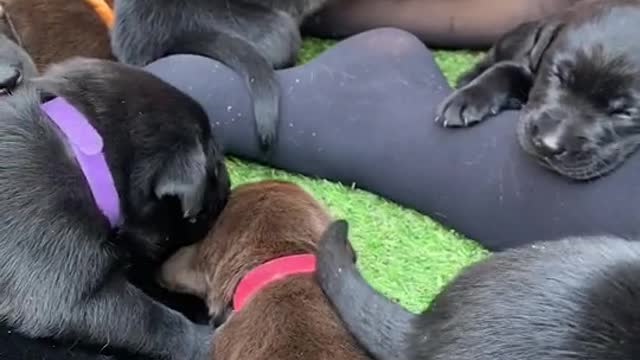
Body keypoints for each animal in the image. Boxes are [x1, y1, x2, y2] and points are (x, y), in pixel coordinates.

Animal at [0, 54, 232, 358]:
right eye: (214, 164)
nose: (230, 185)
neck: (85, 150)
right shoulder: (58, 280)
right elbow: (151, 320)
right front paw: (208, 339)